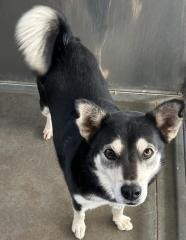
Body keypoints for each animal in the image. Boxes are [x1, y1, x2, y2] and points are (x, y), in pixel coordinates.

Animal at [15, 5, 184, 238]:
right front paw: (78, 226)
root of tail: (66, 41)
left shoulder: (119, 199)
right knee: (48, 113)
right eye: (109, 153)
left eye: (148, 152)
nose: (131, 192)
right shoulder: (77, 196)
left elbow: (118, 207)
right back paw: (49, 129)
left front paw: (119, 219)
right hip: (44, 99)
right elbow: (80, 212)